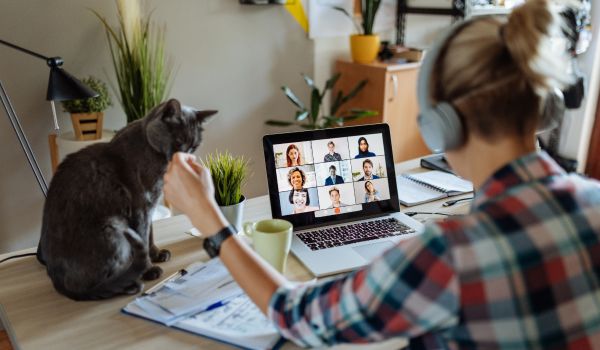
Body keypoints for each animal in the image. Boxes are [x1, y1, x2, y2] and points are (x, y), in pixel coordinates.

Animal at [38, 99, 216, 300]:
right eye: (178, 142)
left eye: (194, 146)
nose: (186, 156)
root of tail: (57, 281)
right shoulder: (140, 206)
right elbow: (143, 236)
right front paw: (150, 269)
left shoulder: (151, 205)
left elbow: (150, 234)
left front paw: (156, 253)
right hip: (114, 228)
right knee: (94, 285)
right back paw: (131, 282)